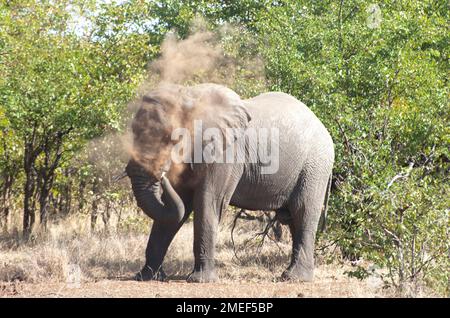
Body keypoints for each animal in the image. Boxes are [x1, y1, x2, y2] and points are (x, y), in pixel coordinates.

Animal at [125, 83, 332, 282]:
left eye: (170, 137)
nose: (162, 176)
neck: (189, 96)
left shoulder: (226, 154)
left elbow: (208, 202)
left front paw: (200, 280)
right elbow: (175, 207)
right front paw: (145, 277)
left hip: (315, 167)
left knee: (302, 212)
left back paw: (295, 278)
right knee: (291, 219)